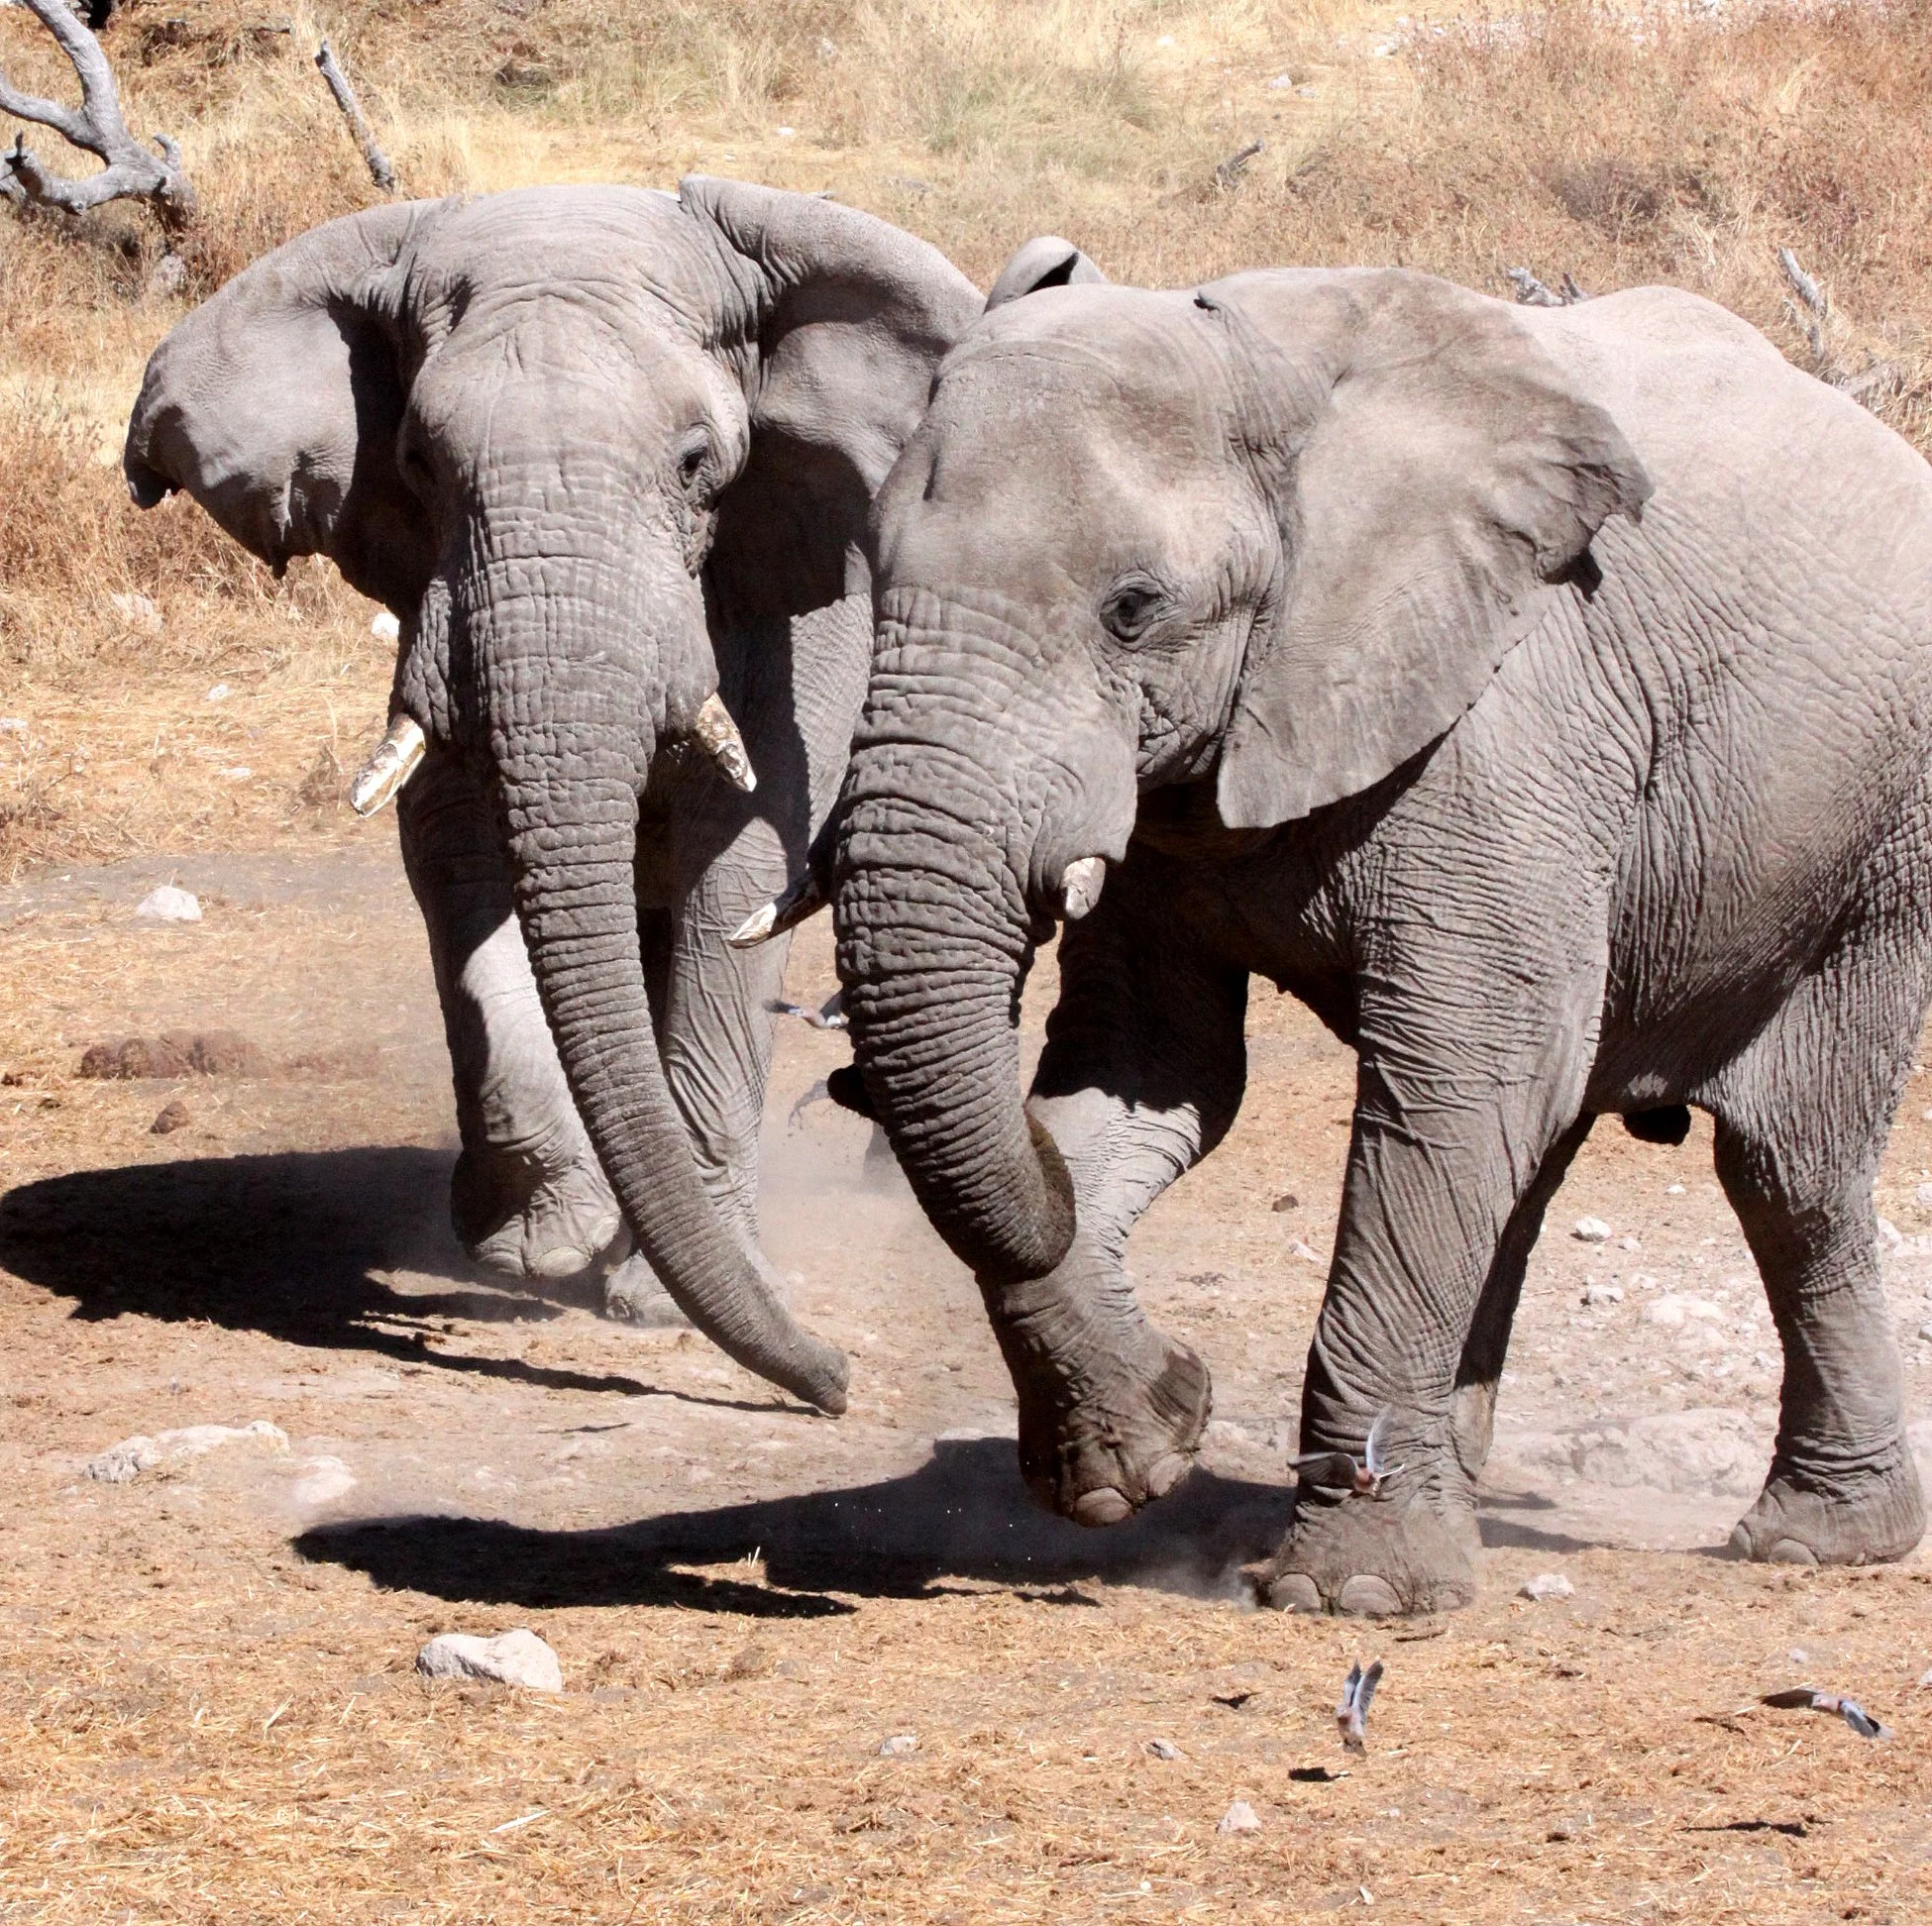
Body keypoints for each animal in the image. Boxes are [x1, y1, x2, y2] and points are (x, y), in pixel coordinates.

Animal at [120, 179, 1011, 1414]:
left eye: (698, 463)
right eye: (421, 462)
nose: (832, 1382)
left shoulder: (806, 585)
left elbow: (743, 855)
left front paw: (652, 1299)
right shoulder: (440, 606)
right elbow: (453, 852)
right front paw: (541, 1245)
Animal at [806, 259, 1932, 1611]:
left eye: (1133, 611)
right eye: (870, 572)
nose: (840, 1077)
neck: (1266, 377)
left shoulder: (1511, 724)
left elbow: (1460, 1075)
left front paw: (1351, 1593)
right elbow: (1148, 1076)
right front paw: (1135, 1458)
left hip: (1877, 843)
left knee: (1782, 1169)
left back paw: (1817, 1541)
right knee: (1535, 1158)